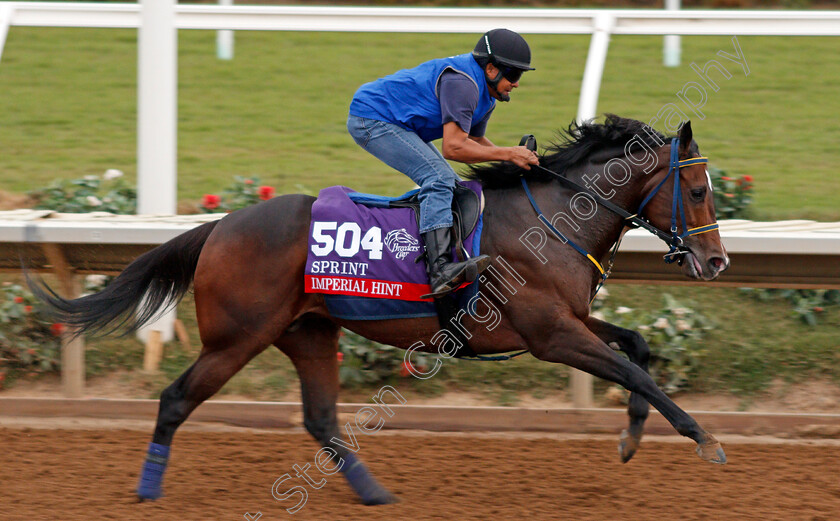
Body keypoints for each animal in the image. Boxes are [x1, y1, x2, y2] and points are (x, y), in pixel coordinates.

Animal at [29, 115, 728, 504]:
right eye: (697, 190)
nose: (717, 262)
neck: (553, 217)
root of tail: (220, 227)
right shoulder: (550, 334)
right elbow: (634, 368)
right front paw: (705, 441)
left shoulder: (567, 321)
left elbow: (637, 348)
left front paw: (631, 437)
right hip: (236, 339)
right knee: (176, 399)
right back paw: (148, 489)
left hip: (309, 332)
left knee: (320, 419)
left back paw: (375, 494)